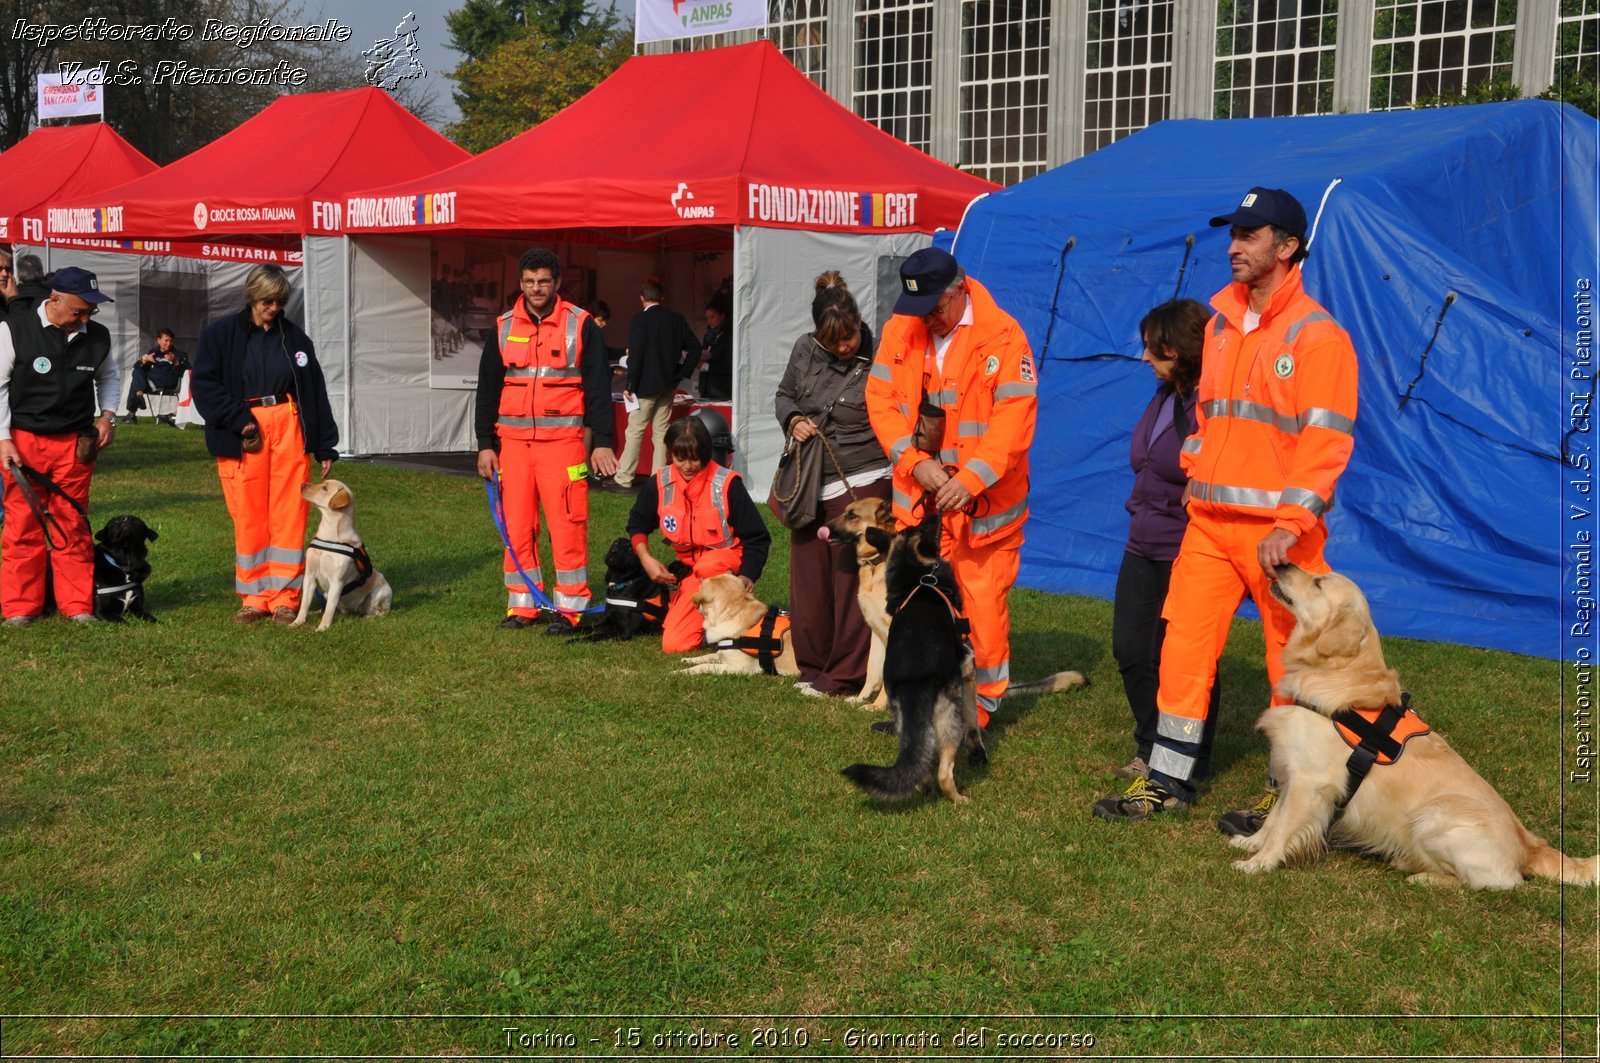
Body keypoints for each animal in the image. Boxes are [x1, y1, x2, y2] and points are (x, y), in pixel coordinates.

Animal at [838, 509, 985, 806]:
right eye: (925, 528)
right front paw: (979, 751)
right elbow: (973, 720)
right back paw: (959, 798)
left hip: (906, 721)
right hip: (948, 721)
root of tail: (915, 678)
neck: (920, 578)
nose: (935, 511)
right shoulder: (967, 665)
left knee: (921, 765)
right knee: (943, 773)